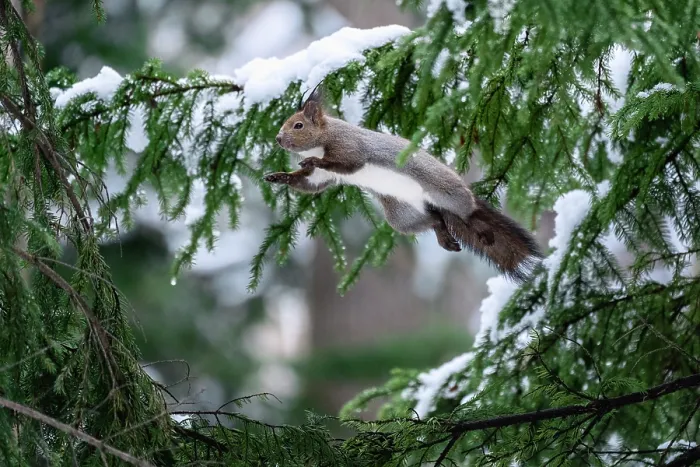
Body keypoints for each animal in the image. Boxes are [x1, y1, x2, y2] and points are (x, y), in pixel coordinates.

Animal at [264, 87, 543, 282]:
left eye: (298, 125)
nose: (277, 138)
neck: (322, 140)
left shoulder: (350, 148)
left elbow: (345, 163)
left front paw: (311, 159)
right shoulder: (319, 177)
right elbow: (309, 184)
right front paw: (278, 176)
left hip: (445, 190)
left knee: (467, 212)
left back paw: (481, 229)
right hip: (403, 215)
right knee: (436, 218)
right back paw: (445, 237)